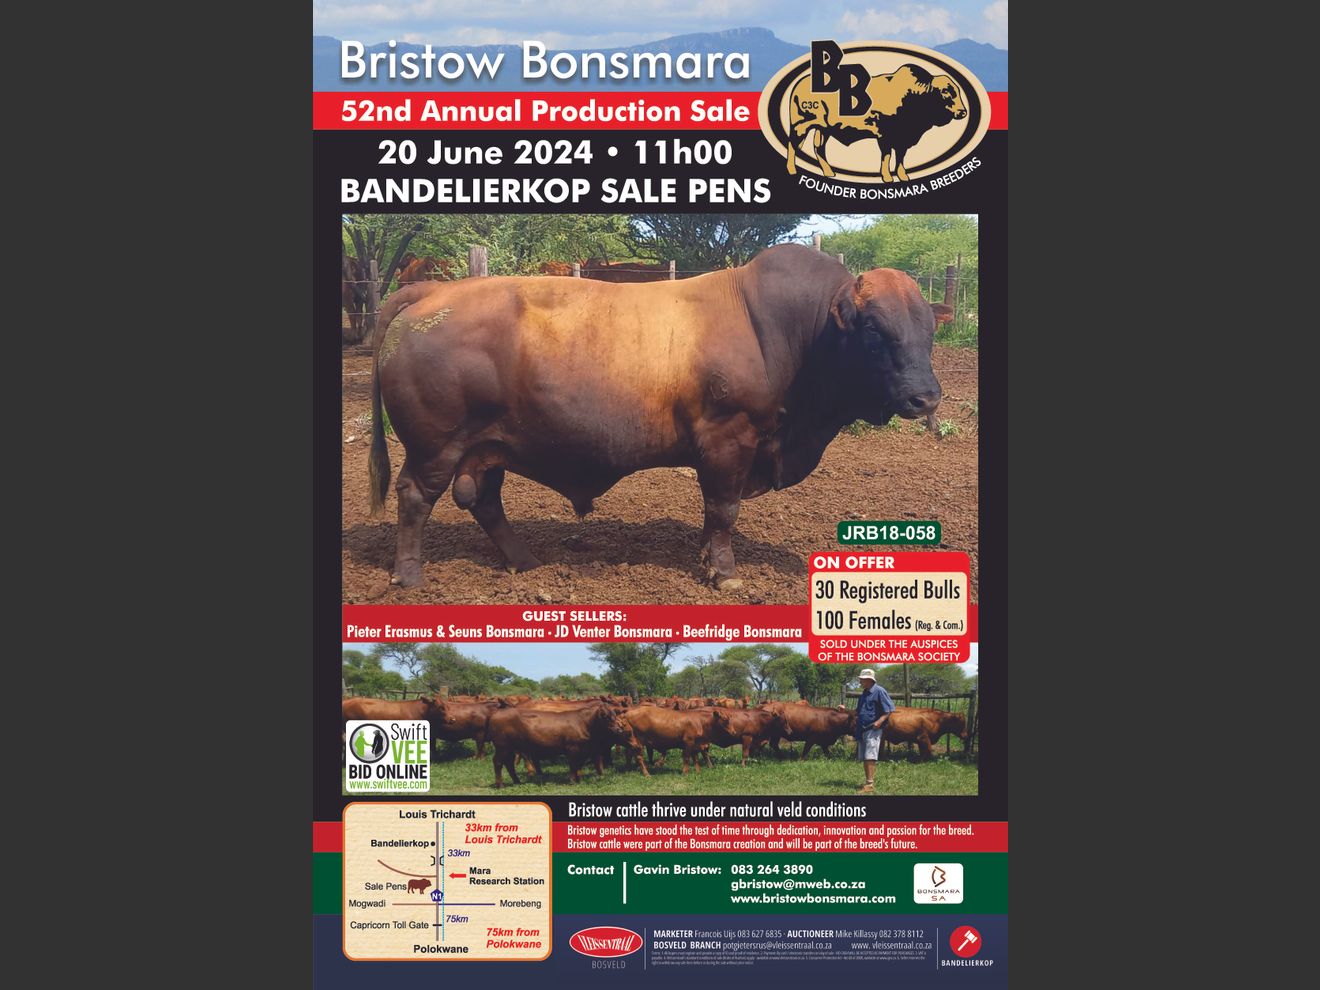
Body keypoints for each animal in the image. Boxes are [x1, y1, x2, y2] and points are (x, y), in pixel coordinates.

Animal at [369, 243, 941, 590]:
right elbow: (724, 509)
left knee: (484, 501)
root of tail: (433, 291)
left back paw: (524, 560)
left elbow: (713, 515)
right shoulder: (728, 438)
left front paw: (707, 559)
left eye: (929, 328)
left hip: (488, 445)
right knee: (415, 497)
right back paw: (409, 574)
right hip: (436, 445)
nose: (926, 398)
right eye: (874, 329)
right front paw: (726, 572)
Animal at [488, 703, 648, 787]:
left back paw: (517, 781)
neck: (585, 724)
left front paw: (578, 779)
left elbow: (578, 765)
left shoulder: (583, 751)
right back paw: (500, 784)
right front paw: (572, 780)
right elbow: (573, 765)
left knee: (508, 763)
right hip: (502, 747)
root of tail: (496, 713)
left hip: (510, 748)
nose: (618, 729)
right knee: (498, 762)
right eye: (605, 716)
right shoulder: (573, 749)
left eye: (614, 716)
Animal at [785, 64, 968, 182]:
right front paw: (887, 177)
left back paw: (829, 172)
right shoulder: (885, 137)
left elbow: (900, 158)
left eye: (958, 91)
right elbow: (887, 157)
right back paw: (792, 170)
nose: (963, 112)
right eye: (945, 91)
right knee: (793, 146)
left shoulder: (902, 140)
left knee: (818, 148)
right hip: (800, 126)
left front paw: (903, 176)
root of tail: (799, 85)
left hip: (824, 129)